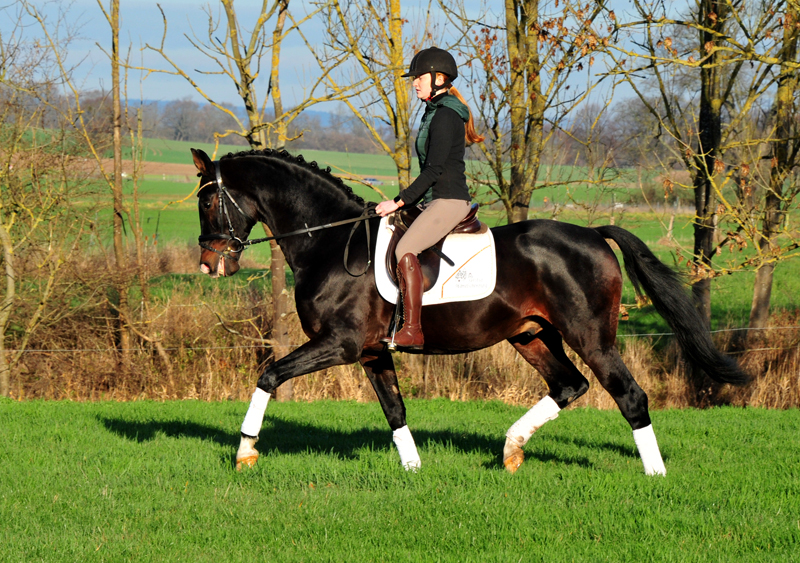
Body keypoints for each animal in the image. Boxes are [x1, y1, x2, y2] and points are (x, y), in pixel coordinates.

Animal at [192, 147, 752, 476]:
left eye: (207, 202)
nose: (210, 264)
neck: (330, 242)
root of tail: (594, 235)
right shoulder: (372, 352)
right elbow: (395, 410)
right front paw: (414, 471)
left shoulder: (340, 344)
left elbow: (269, 374)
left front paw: (245, 453)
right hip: (530, 334)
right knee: (569, 386)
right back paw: (510, 450)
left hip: (591, 336)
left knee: (627, 394)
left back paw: (654, 475)